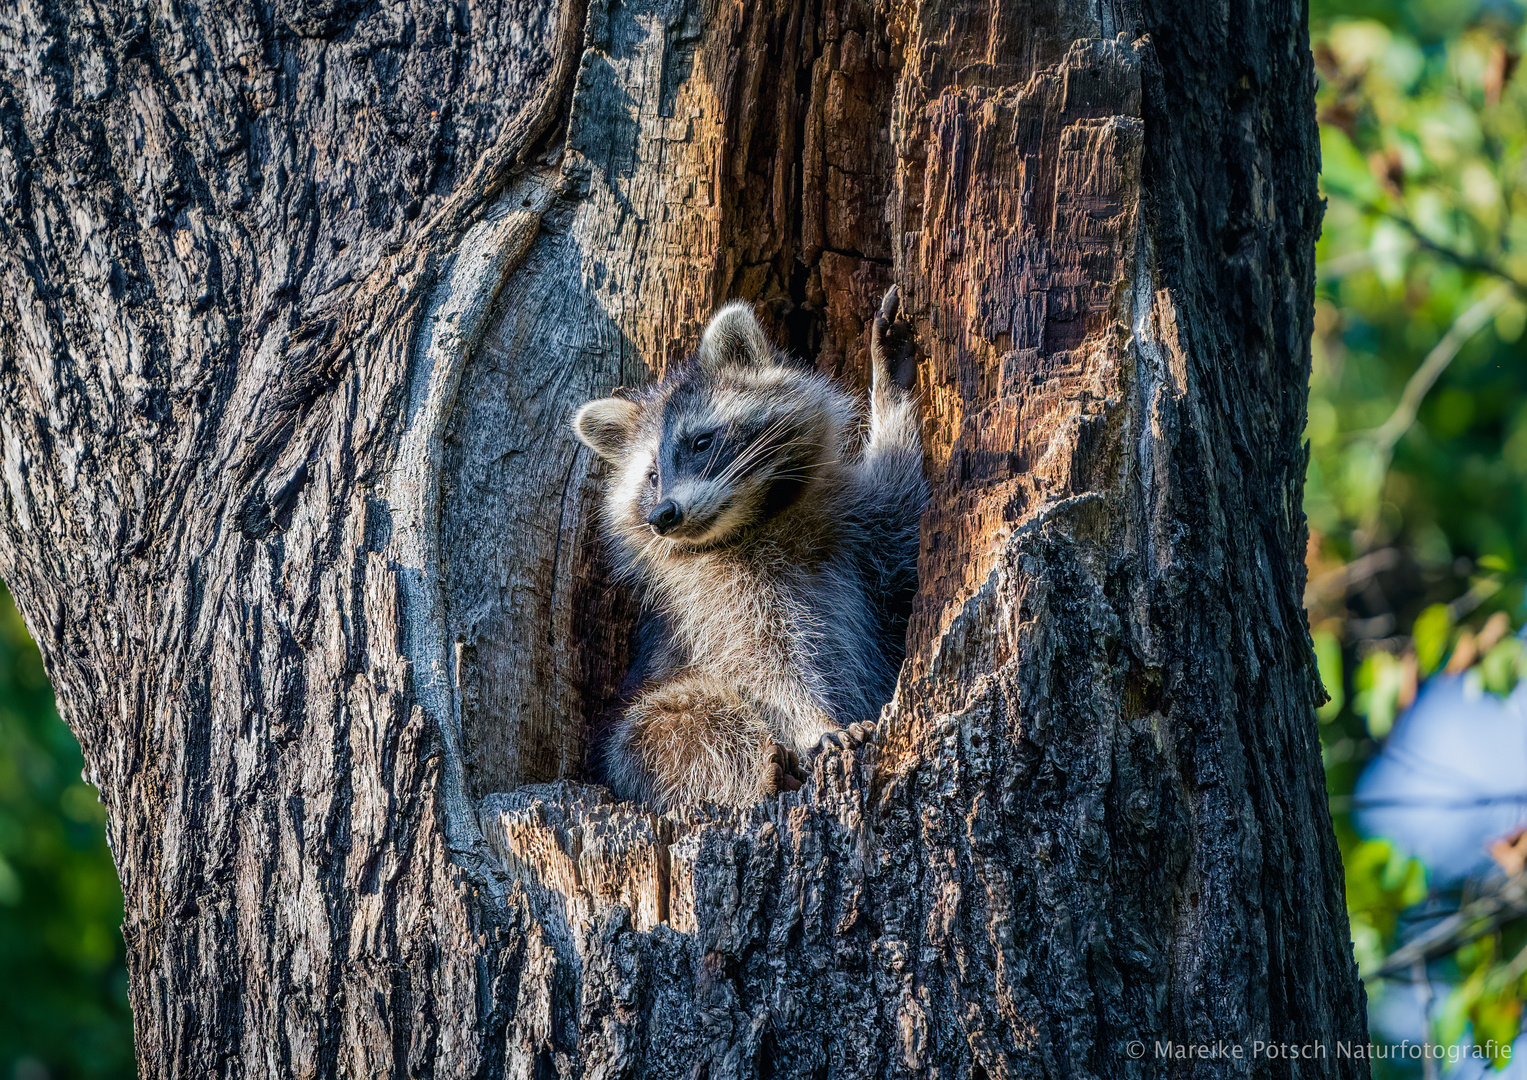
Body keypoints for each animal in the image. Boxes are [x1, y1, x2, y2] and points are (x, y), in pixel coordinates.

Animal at [574, 287, 922, 812]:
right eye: (652, 476)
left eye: (701, 442)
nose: (664, 515)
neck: (756, 521)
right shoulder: (715, 601)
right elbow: (766, 665)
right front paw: (815, 723)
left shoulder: (863, 528)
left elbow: (905, 523)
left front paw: (890, 391)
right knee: (669, 725)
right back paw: (763, 769)